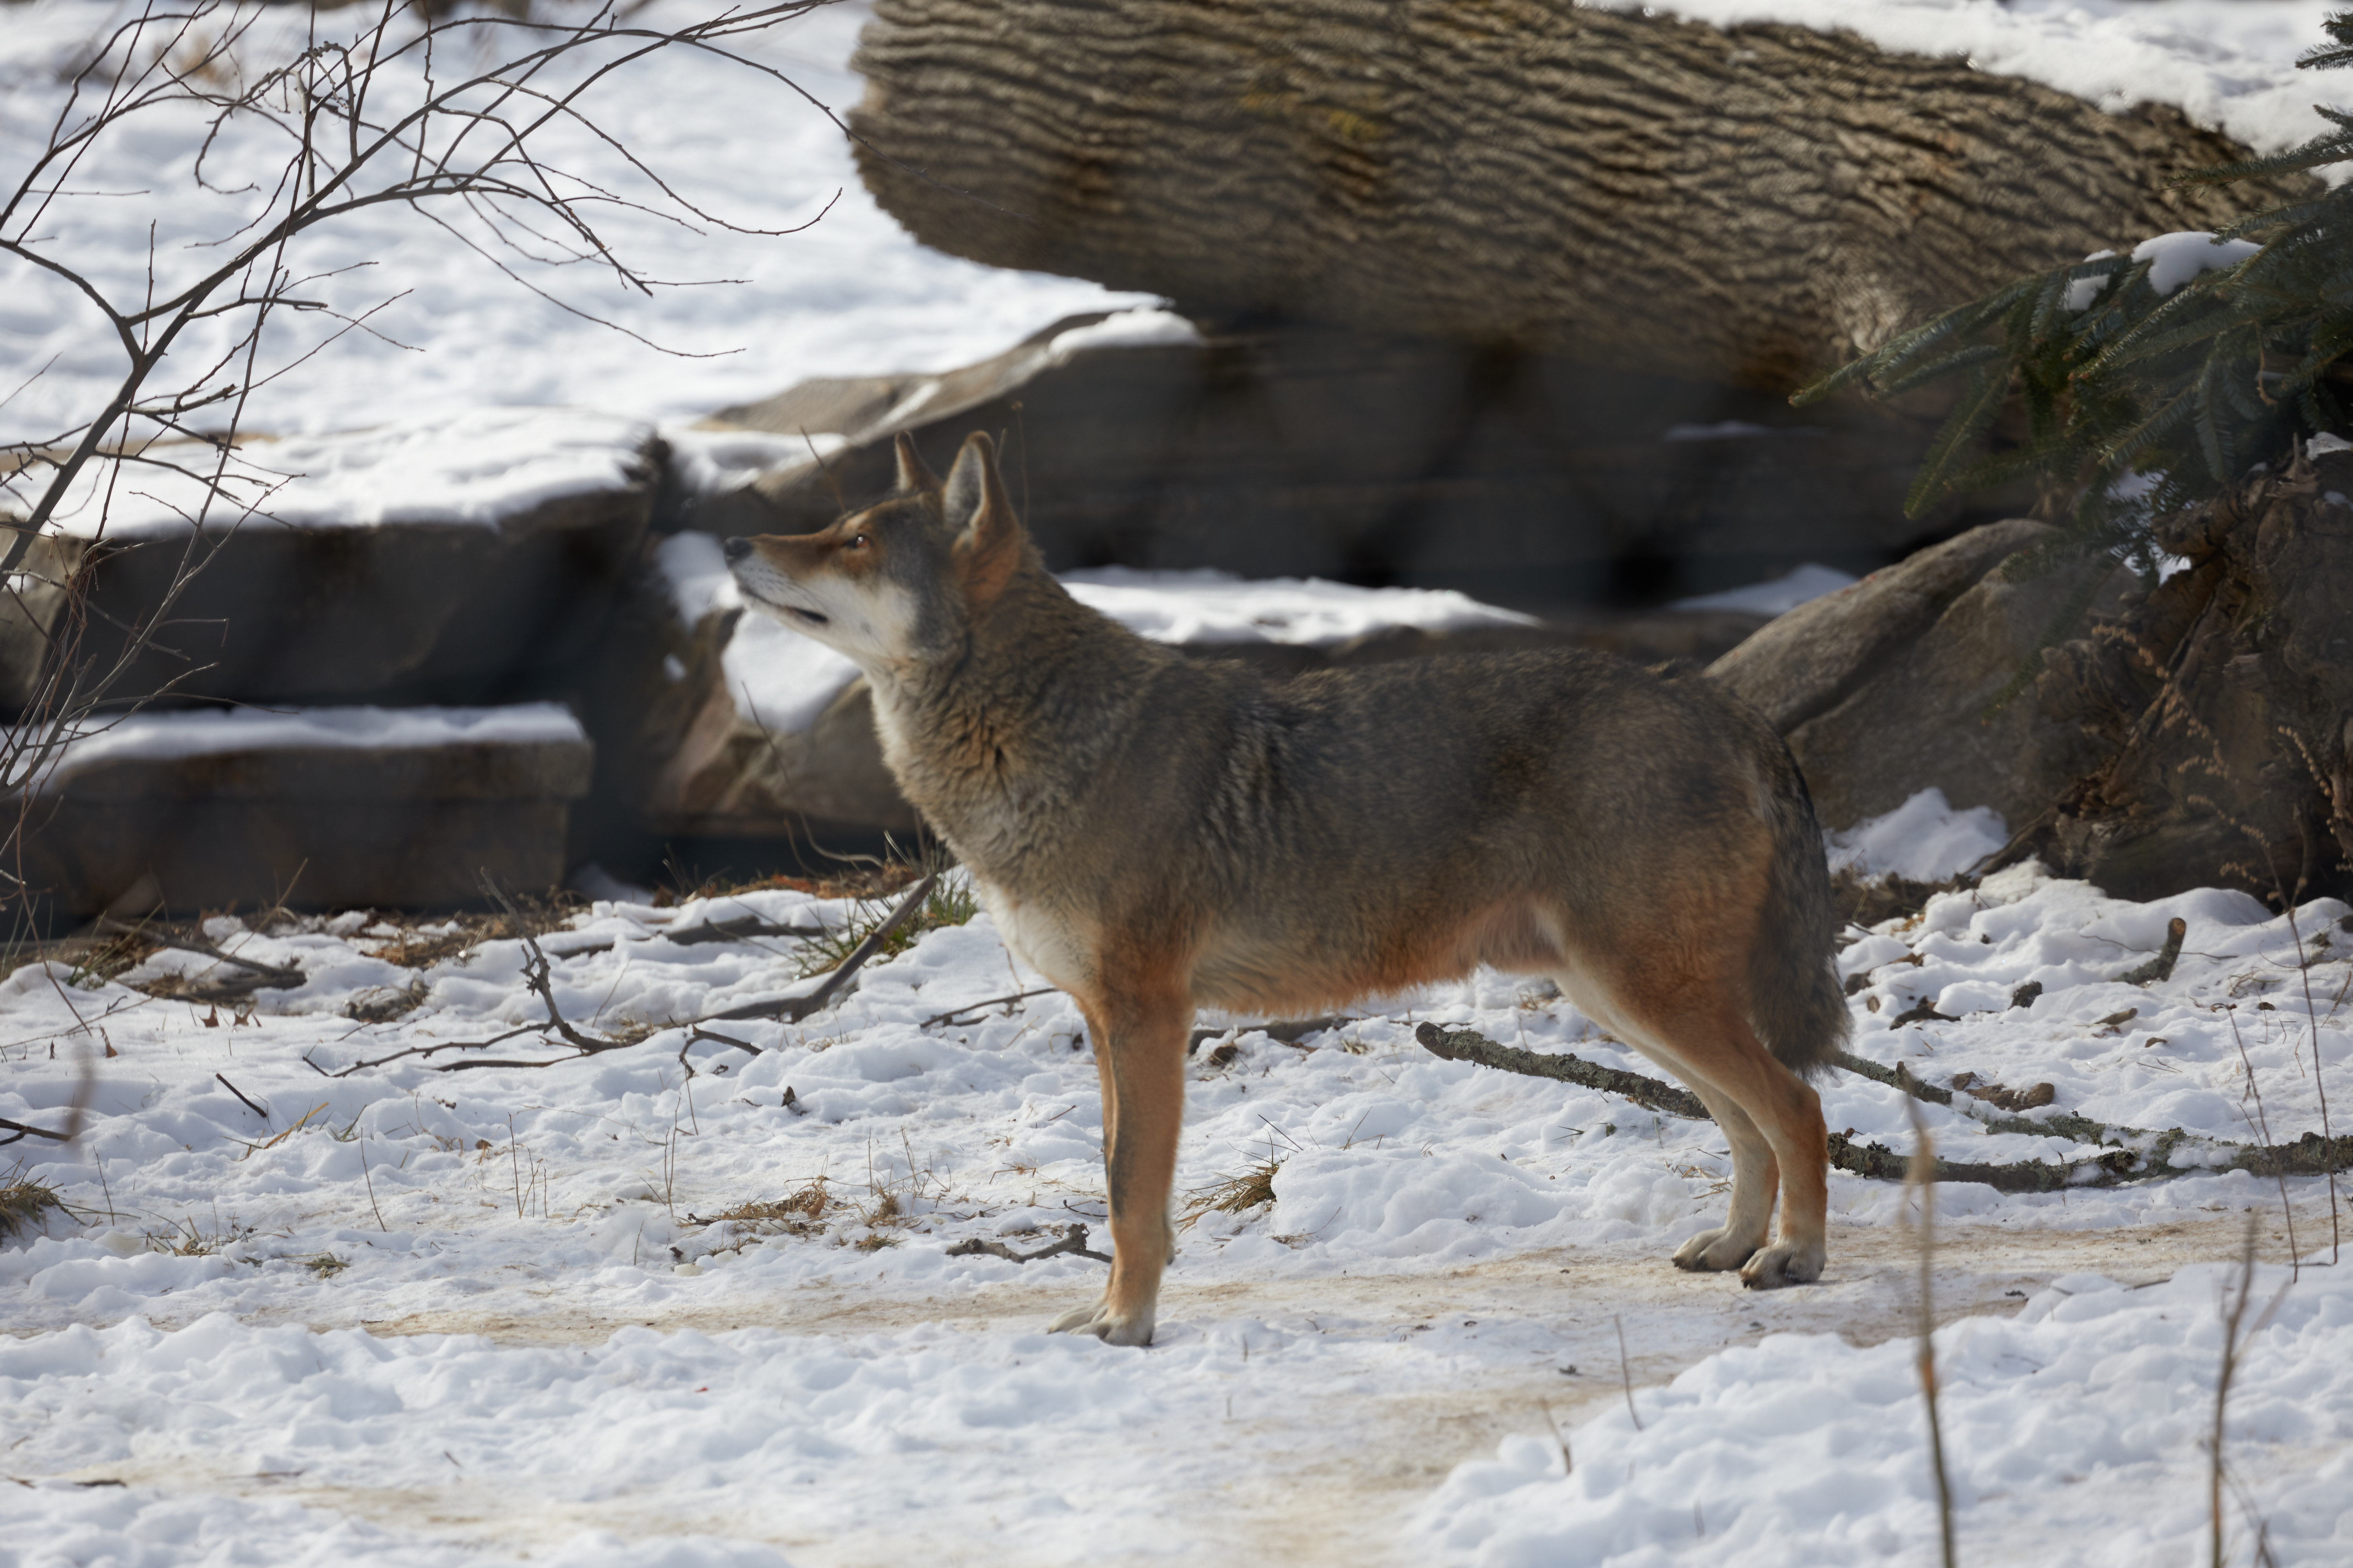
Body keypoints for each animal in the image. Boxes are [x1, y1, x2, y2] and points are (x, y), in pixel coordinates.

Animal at [724, 430, 1848, 1346]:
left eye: (853, 540)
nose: (732, 544)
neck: (1041, 735)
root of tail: (1706, 691)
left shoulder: (1147, 1014)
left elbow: (1128, 1191)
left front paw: (1127, 1325)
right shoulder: (1102, 1018)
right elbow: (1117, 1183)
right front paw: (1105, 1312)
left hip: (1646, 994)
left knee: (1795, 1105)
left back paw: (1793, 1258)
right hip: (1618, 1001)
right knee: (1746, 1123)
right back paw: (1731, 1244)